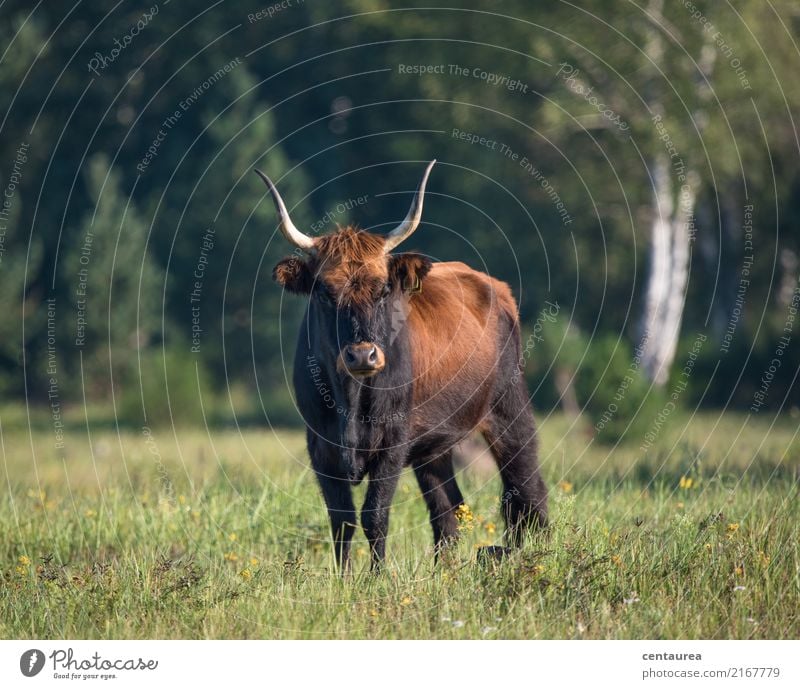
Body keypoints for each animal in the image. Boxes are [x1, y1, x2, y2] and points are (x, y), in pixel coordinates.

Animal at [260, 161, 548, 568]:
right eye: (324, 292)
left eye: (383, 289)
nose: (362, 355)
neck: (352, 397)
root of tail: (493, 286)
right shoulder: (320, 445)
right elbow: (342, 520)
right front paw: (343, 577)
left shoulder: (393, 442)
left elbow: (375, 515)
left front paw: (377, 575)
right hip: (434, 446)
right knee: (448, 509)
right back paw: (444, 569)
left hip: (510, 409)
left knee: (526, 489)